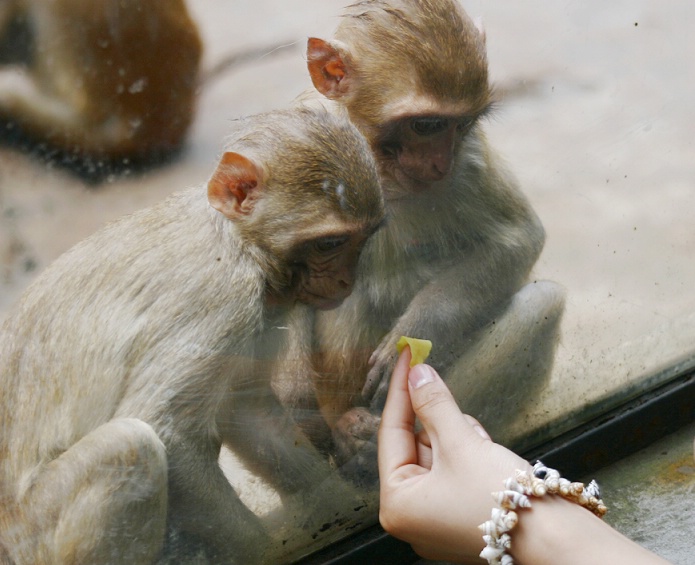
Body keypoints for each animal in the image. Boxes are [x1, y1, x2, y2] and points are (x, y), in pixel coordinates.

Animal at [0, 107, 386, 564]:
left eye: (363, 239)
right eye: (329, 243)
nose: (346, 281)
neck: (240, 243)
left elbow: (247, 410)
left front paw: (341, 503)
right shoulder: (224, 301)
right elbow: (165, 429)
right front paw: (261, 552)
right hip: (34, 534)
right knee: (131, 446)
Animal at [272, 0, 564, 480]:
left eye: (462, 124)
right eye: (425, 125)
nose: (441, 162)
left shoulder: (471, 159)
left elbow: (517, 239)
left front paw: (416, 333)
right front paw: (296, 399)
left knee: (543, 303)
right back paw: (349, 437)